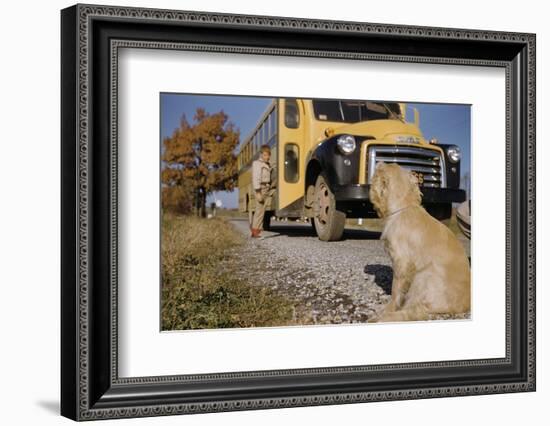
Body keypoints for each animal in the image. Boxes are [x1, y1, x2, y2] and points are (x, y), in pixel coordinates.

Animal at [368, 163, 472, 322]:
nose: (379, 163)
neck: (404, 206)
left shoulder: (401, 262)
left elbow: (395, 290)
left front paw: (387, 308)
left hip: (423, 277)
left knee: (415, 311)